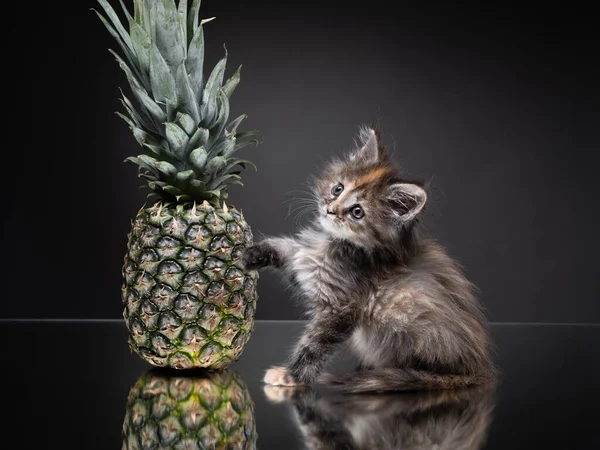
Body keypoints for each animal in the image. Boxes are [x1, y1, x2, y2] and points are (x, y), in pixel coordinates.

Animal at [241, 123, 494, 390]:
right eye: (338, 188)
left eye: (357, 212)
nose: (330, 210)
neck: (332, 244)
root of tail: (476, 370)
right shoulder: (303, 263)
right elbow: (284, 248)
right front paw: (250, 254)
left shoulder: (341, 307)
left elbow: (315, 344)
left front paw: (292, 375)